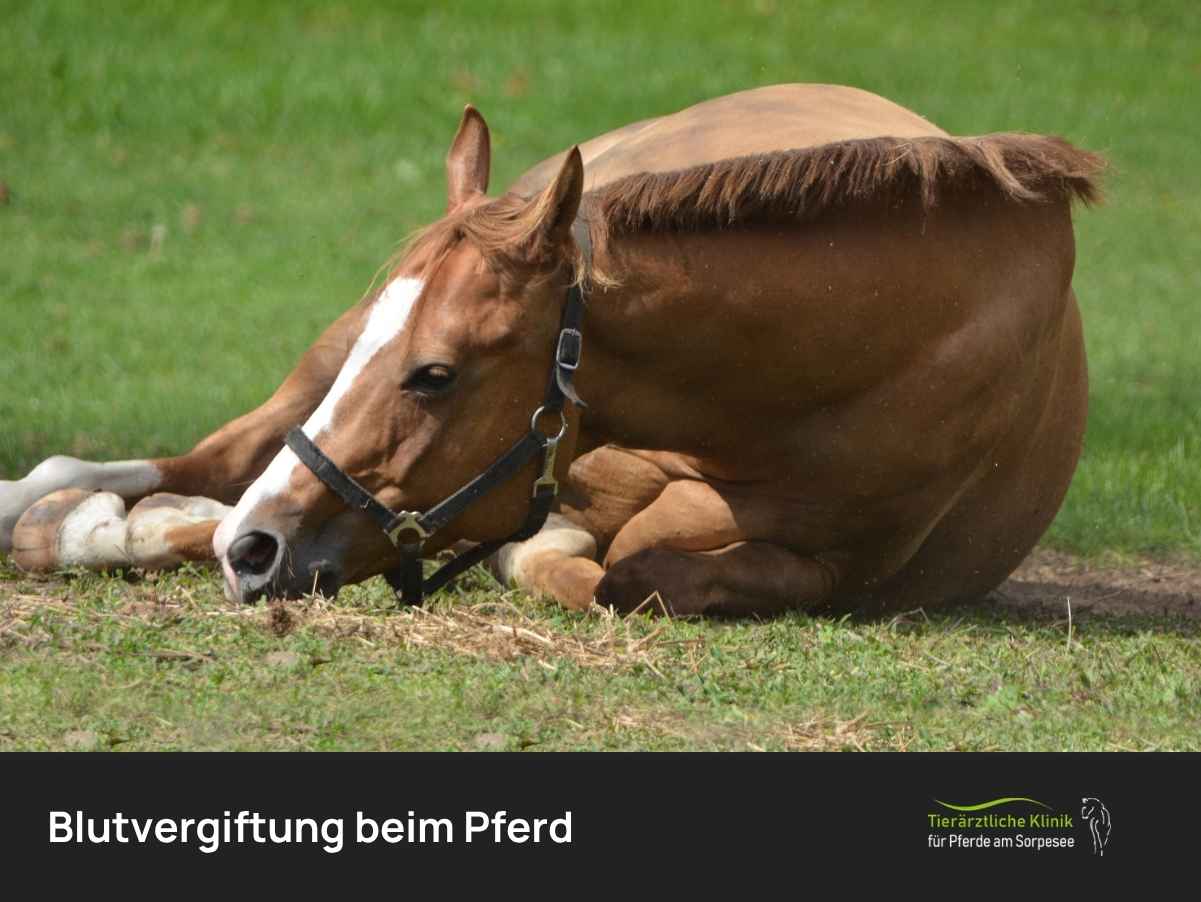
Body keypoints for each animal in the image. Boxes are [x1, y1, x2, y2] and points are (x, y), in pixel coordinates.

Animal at [1, 84, 1104, 616]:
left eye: (435, 374)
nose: (256, 551)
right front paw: (111, 527)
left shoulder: (830, 568)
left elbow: (627, 574)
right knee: (208, 459)